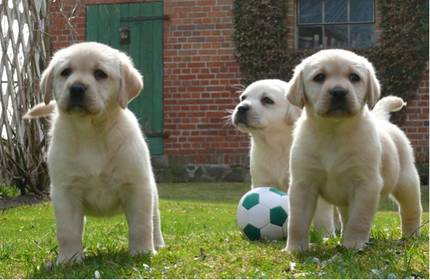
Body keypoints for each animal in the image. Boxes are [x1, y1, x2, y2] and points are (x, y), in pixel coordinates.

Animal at [24, 42, 165, 264]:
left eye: (100, 74)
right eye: (65, 72)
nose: (76, 88)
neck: (91, 132)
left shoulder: (136, 187)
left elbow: (141, 226)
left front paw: (142, 252)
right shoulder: (65, 191)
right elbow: (67, 231)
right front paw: (69, 259)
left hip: (152, 192)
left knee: (154, 220)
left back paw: (157, 244)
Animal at [232, 79, 340, 236]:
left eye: (267, 100)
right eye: (243, 98)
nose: (241, 108)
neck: (277, 146)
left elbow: (322, 215)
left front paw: (325, 235)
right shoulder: (262, 181)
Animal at [284, 48, 422, 252]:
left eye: (354, 77)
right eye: (319, 77)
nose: (338, 92)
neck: (334, 132)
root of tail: (382, 119)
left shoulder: (366, 184)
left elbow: (360, 220)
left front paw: (353, 245)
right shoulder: (303, 184)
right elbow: (297, 221)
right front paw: (295, 248)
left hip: (406, 181)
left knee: (411, 209)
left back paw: (411, 235)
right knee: (346, 215)